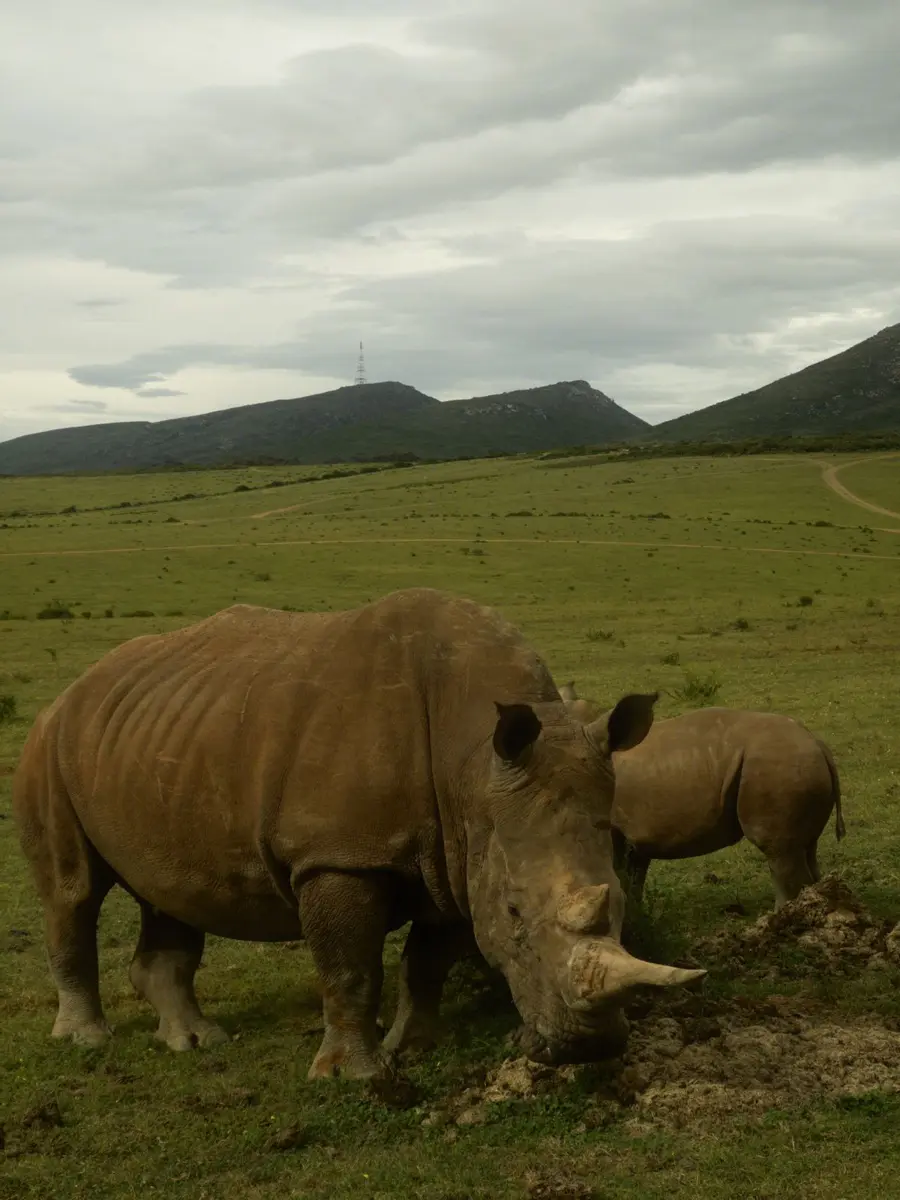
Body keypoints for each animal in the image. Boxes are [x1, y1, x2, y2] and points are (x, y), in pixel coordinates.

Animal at [13, 589, 704, 1081]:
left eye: (621, 902)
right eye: (513, 913)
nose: (589, 1048)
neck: (474, 763)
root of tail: (73, 690)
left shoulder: (459, 854)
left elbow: (425, 962)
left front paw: (415, 1048)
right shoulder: (339, 855)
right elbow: (350, 966)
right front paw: (354, 1078)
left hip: (155, 740)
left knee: (170, 889)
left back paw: (193, 1043)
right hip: (48, 744)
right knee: (73, 892)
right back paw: (88, 1041)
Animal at [559, 682, 845, 909]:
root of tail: (818, 744)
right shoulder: (632, 832)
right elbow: (631, 878)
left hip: (777, 768)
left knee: (779, 853)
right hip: (795, 767)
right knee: (805, 848)